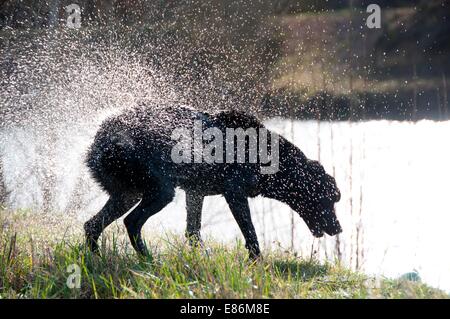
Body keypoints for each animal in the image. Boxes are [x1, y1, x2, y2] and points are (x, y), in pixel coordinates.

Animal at [84, 105, 342, 260]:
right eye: (330, 198)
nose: (338, 227)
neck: (267, 156)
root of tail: (97, 145)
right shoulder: (234, 194)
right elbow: (251, 235)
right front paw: (256, 262)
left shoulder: (195, 193)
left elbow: (193, 232)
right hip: (160, 192)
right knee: (132, 222)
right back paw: (148, 260)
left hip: (127, 194)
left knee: (92, 225)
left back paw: (96, 258)